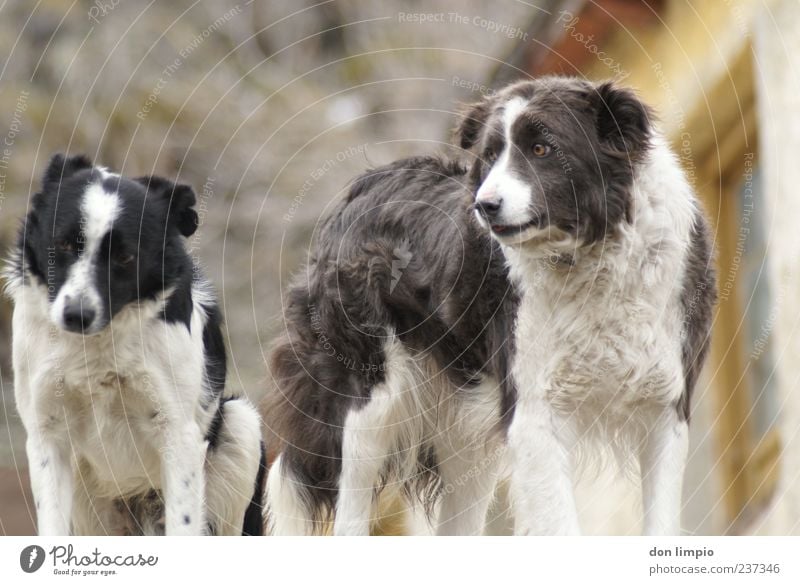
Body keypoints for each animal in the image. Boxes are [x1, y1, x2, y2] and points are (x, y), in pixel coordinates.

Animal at [4, 154, 266, 532]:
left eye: (125, 258)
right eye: (64, 245)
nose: (75, 315)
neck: (99, 343)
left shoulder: (179, 436)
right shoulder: (46, 434)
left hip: (242, 424)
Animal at [266, 76, 716, 532]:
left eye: (542, 149)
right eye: (489, 156)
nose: (485, 205)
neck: (594, 255)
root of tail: (360, 187)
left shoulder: (665, 407)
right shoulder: (533, 412)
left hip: (463, 429)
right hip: (368, 398)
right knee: (351, 502)